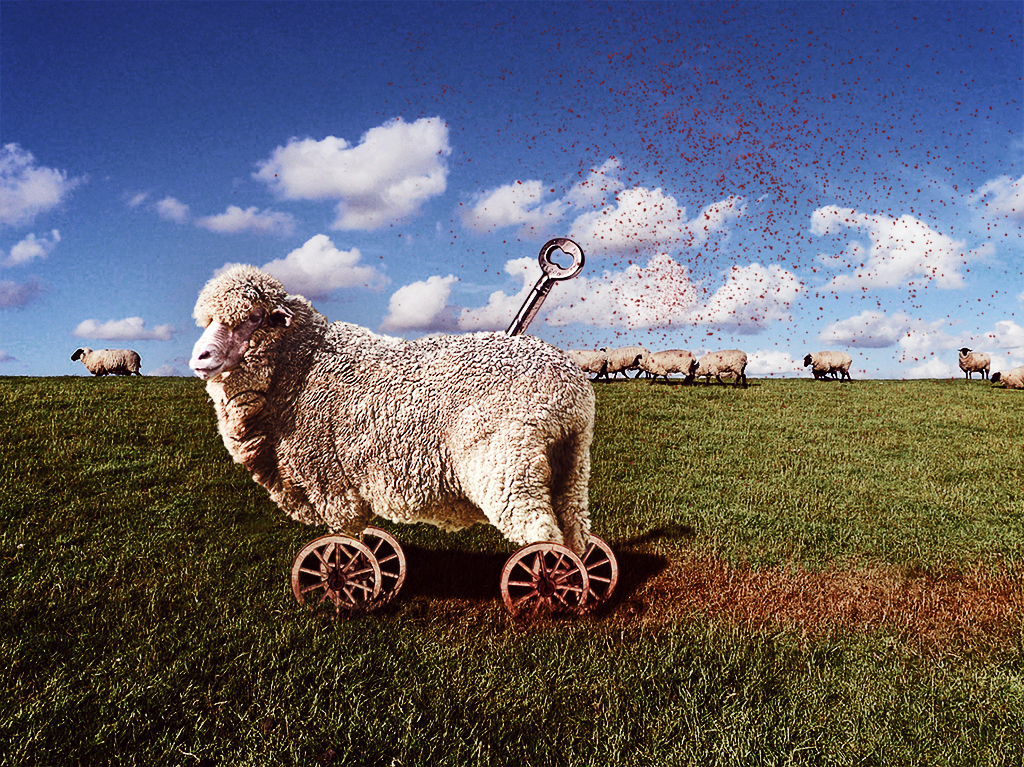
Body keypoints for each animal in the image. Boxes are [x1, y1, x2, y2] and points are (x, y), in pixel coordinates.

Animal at [189, 265, 595, 556]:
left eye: (254, 317)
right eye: (207, 321)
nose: (200, 358)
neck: (301, 366)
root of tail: (571, 390)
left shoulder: (331, 483)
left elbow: (344, 545)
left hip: (509, 469)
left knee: (545, 538)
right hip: (571, 467)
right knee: (575, 533)